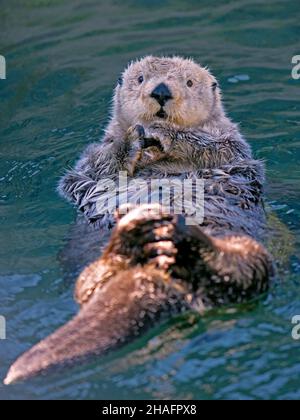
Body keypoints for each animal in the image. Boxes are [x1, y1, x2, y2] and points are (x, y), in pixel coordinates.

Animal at [2, 57, 274, 386]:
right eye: (141, 78)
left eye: (189, 83)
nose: (161, 91)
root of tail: (159, 276)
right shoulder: (92, 159)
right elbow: (103, 162)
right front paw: (132, 140)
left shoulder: (230, 145)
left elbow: (209, 146)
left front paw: (164, 134)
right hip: (90, 276)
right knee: (92, 281)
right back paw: (136, 235)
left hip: (251, 255)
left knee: (241, 272)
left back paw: (187, 242)